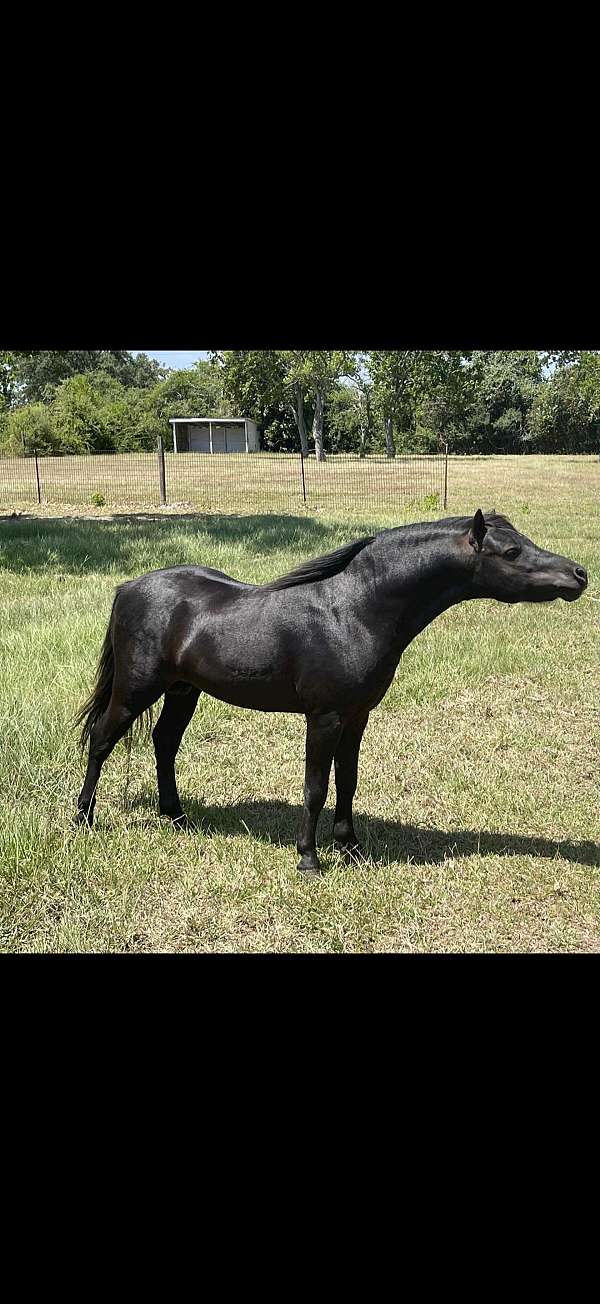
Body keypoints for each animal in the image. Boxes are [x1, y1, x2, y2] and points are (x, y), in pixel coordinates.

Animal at [74, 510, 588, 875]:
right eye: (512, 552)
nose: (579, 575)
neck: (354, 611)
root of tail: (129, 586)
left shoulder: (357, 717)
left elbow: (348, 782)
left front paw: (352, 849)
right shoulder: (324, 718)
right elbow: (316, 787)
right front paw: (309, 858)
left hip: (184, 691)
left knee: (164, 744)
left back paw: (178, 819)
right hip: (136, 690)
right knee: (101, 740)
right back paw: (83, 820)